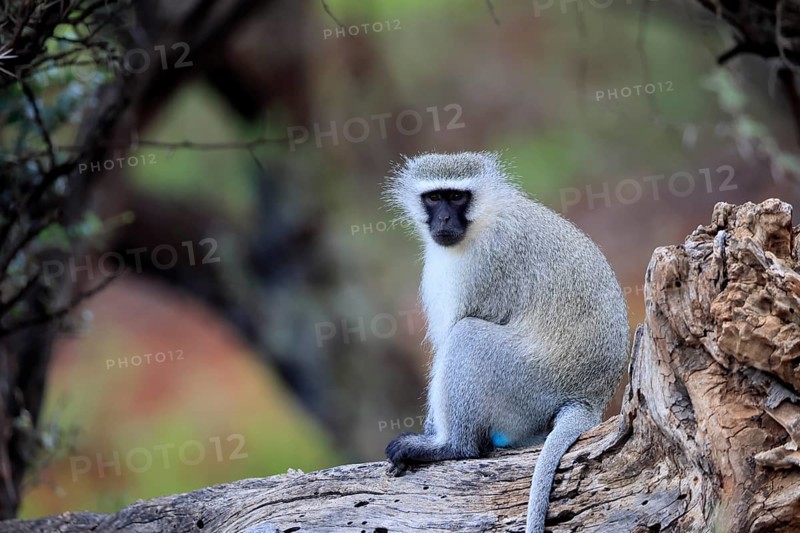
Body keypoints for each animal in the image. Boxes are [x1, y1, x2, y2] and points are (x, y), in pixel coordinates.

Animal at [383, 152, 629, 533]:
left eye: (457, 197)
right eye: (434, 197)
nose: (443, 219)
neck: (484, 218)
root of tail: (589, 399)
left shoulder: (484, 265)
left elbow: (453, 334)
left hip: (527, 384)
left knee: (466, 336)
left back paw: (455, 447)